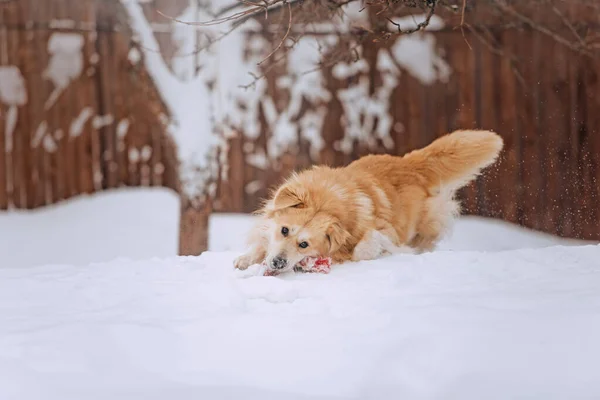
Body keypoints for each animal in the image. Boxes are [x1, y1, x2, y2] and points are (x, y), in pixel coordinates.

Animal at [233, 130, 502, 274]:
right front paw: (245, 259)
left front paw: (374, 251)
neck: (327, 203)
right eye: (284, 230)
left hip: (426, 224)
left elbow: (366, 245)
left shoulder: (386, 231)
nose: (277, 263)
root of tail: (408, 163)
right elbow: (262, 241)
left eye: (304, 245)